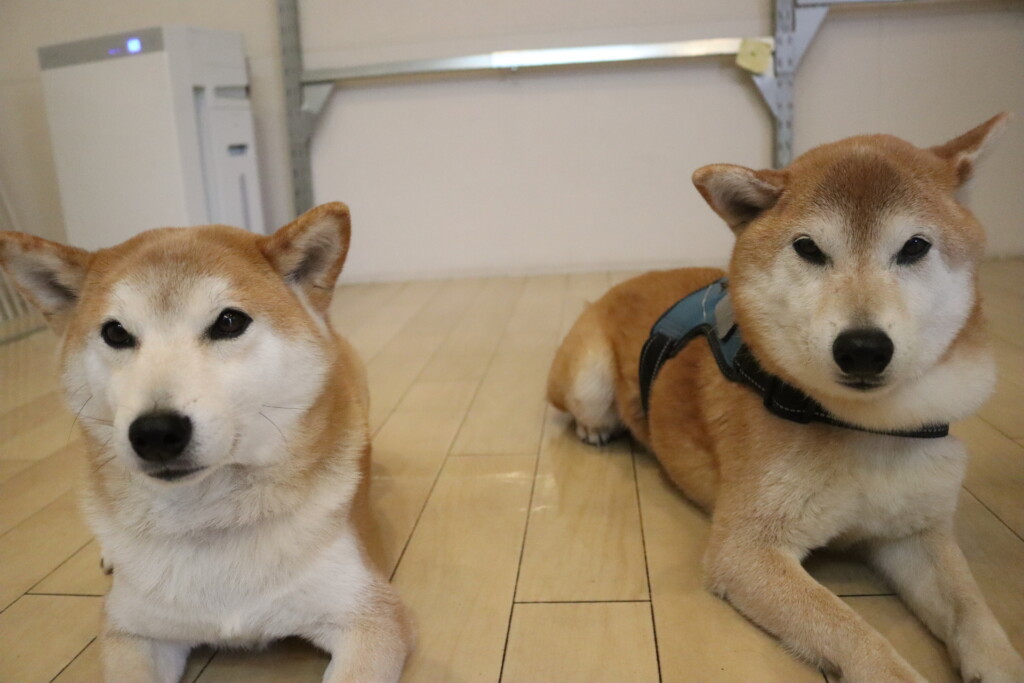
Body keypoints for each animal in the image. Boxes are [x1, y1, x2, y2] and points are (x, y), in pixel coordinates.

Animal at [0, 203, 412, 683]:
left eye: (229, 322)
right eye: (116, 333)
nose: (156, 432)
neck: (208, 520)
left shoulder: (369, 618)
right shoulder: (133, 632)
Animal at [547, 115, 1024, 682]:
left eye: (914, 247)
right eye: (809, 249)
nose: (862, 348)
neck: (867, 427)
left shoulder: (915, 533)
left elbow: (972, 609)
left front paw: (1000, 663)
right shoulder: (748, 550)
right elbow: (855, 631)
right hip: (589, 380)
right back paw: (596, 428)